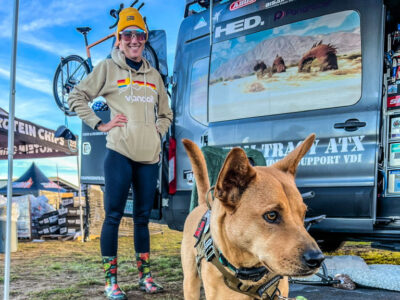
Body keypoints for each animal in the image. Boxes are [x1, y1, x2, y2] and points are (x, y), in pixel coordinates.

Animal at [181, 135, 324, 298]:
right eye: (271, 215)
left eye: (303, 213)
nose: (317, 259)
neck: (252, 277)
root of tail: (203, 205)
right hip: (190, 284)